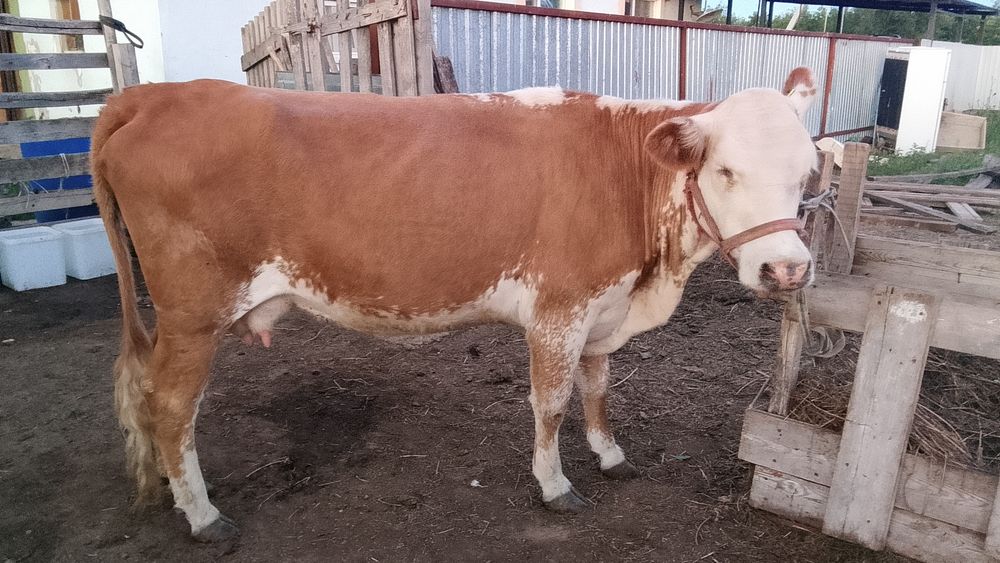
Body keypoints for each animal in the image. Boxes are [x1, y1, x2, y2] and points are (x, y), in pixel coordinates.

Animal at [91, 67, 818, 542]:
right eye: (725, 170)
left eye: (807, 171)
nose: (786, 267)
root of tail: (155, 95)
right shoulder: (558, 308)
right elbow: (551, 403)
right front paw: (555, 485)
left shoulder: (601, 308)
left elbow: (598, 386)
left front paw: (610, 453)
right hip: (192, 314)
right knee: (170, 408)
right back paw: (202, 515)